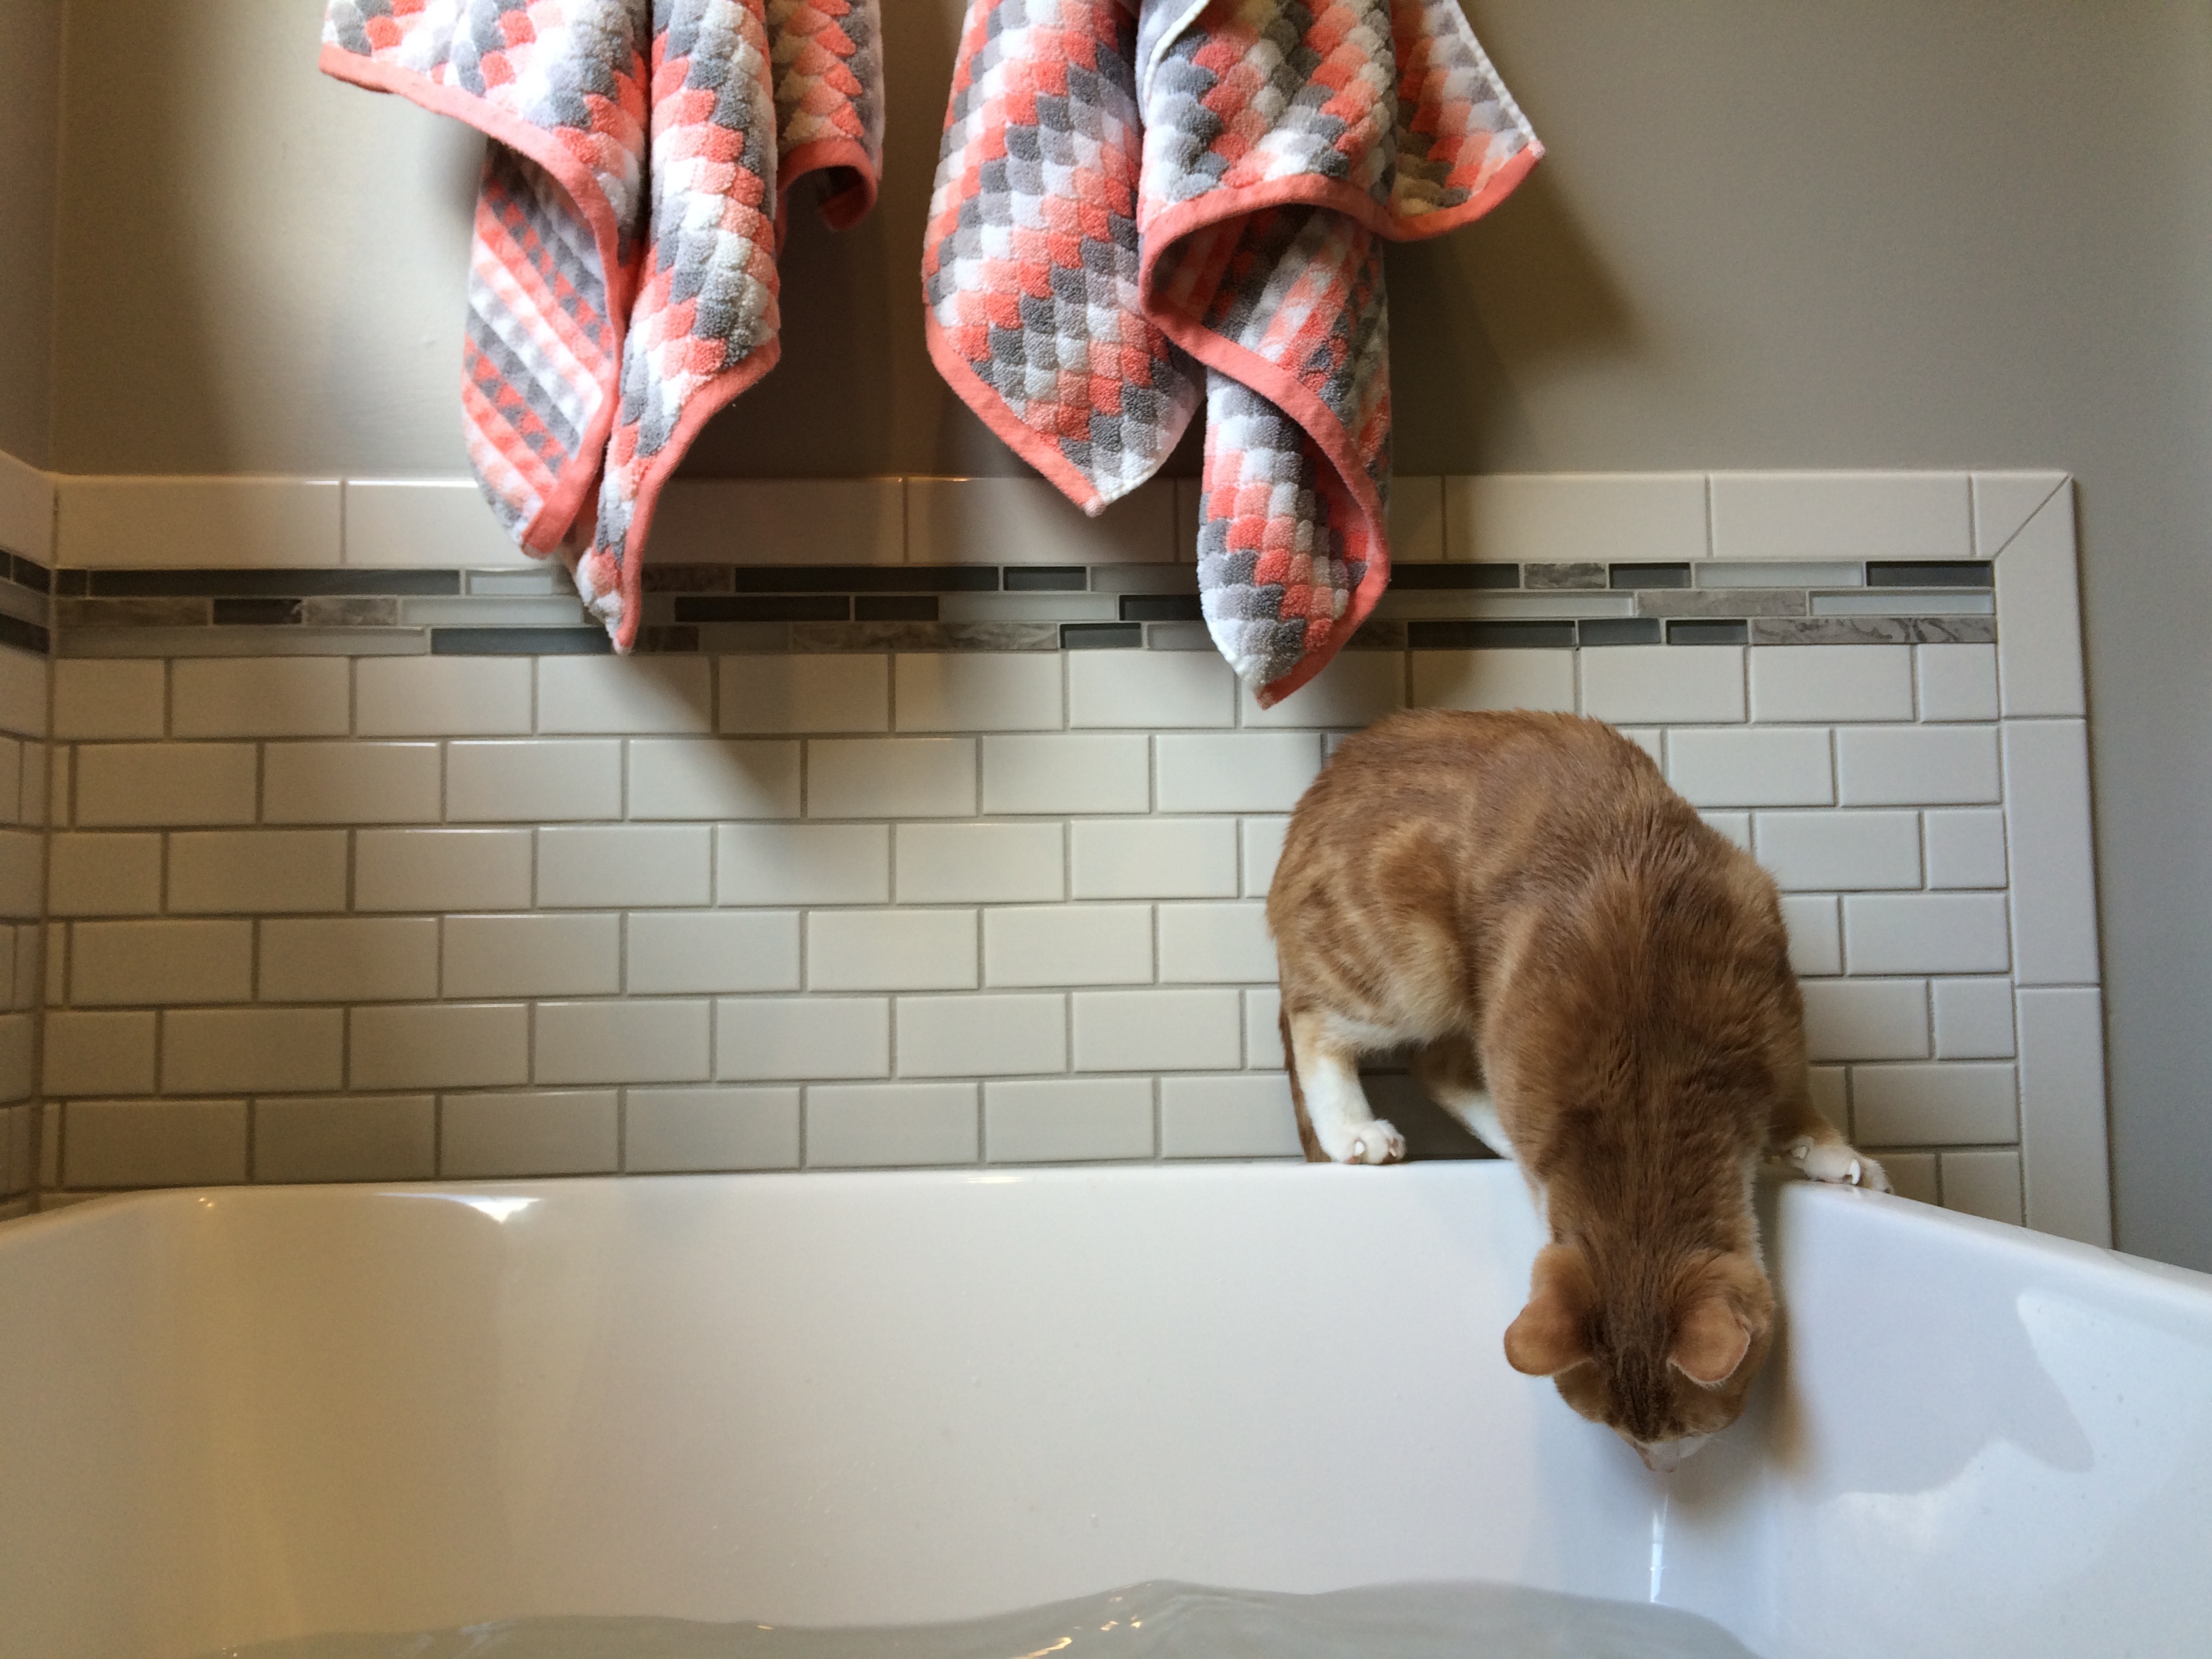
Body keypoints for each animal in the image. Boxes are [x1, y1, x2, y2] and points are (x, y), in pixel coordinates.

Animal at [1267, 709, 1886, 1472]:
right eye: (1620, 1430)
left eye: (1683, 1428)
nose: (1656, 1468)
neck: (1650, 1074)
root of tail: (1318, 790)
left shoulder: (1778, 1015)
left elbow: (1798, 1101)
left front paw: (1834, 1156)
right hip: (1409, 967)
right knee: (1317, 1022)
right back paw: (1355, 1130)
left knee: (1435, 1063)